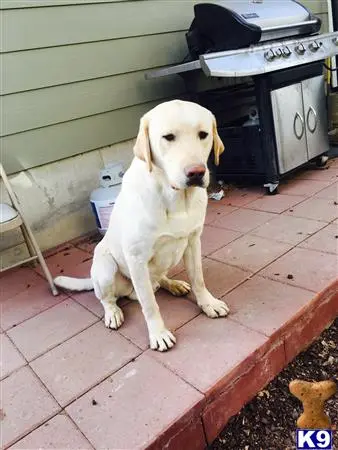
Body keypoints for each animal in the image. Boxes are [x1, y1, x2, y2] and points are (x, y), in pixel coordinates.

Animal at [54, 99, 230, 352]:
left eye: (203, 134)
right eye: (168, 137)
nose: (196, 172)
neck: (175, 198)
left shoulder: (193, 241)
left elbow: (198, 279)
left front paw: (208, 303)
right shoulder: (136, 259)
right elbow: (150, 305)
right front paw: (158, 334)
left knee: (158, 280)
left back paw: (173, 284)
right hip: (106, 268)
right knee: (109, 298)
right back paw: (113, 312)